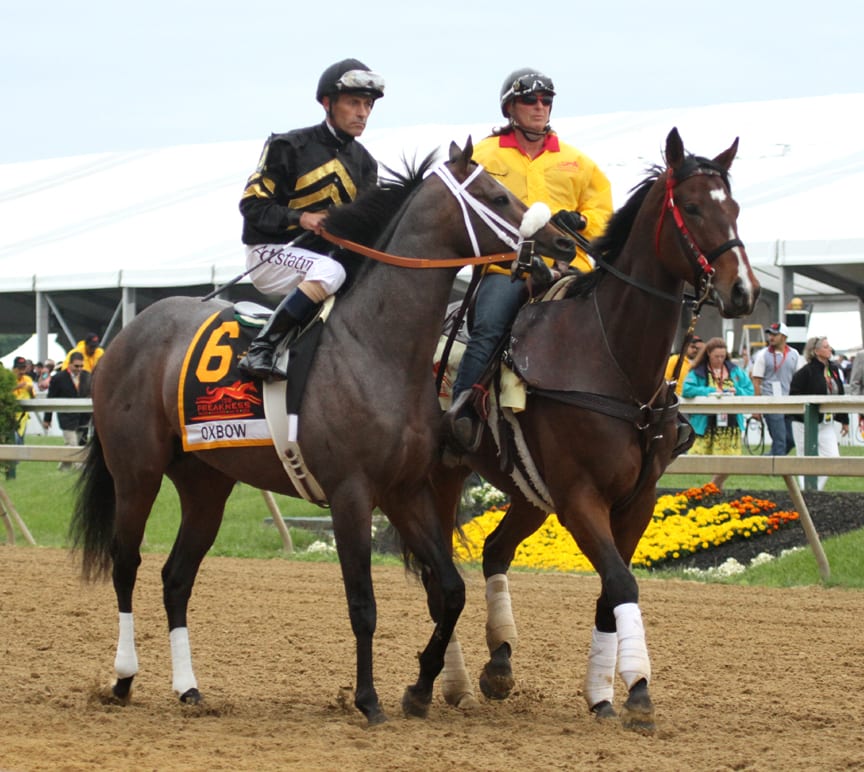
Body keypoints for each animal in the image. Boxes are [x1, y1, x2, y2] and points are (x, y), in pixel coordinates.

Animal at [71, 139, 576, 724]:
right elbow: (363, 604)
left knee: (176, 577)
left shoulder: (404, 490)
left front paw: (420, 687)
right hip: (136, 473)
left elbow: (450, 590)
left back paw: (188, 688)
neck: (375, 346)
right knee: (125, 563)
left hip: (206, 484)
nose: (563, 239)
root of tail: (126, 335)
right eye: (498, 194)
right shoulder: (350, 494)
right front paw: (368, 699)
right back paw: (123, 677)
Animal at [432, 130, 756, 732]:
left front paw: (608, 692)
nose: (743, 290)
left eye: (735, 207)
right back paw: (457, 681)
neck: (612, 360)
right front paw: (637, 690)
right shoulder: (580, 498)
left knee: (494, 550)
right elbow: (621, 582)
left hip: (527, 493)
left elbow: (612, 589)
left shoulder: (638, 499)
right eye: (692, 206)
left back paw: (500, 662)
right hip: (441, 478)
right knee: (439, 565)